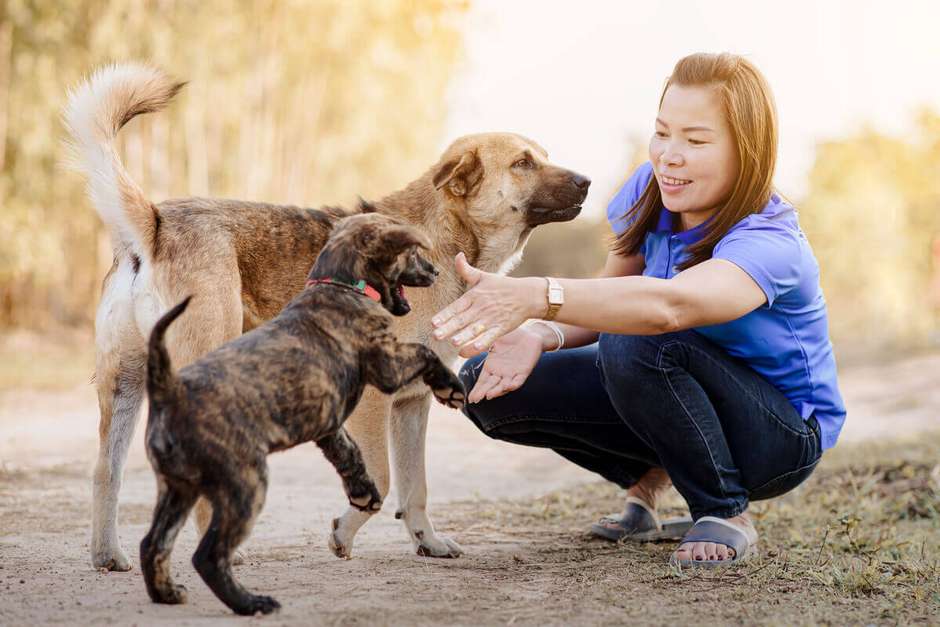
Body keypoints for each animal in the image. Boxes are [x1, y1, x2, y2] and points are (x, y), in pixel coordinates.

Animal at [137, 213, 466, 616]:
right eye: (413, 254)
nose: (435, 271)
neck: (338, 284)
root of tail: (169, 393)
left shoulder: (329, 423)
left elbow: (350, 454)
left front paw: (363, 493)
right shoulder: (387, 366)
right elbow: (425, 353)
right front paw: (450, 386)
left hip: (177, 489)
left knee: (153, 543)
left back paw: (166, 593)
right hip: (244, 486)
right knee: (208, 556)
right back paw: (250, 602)